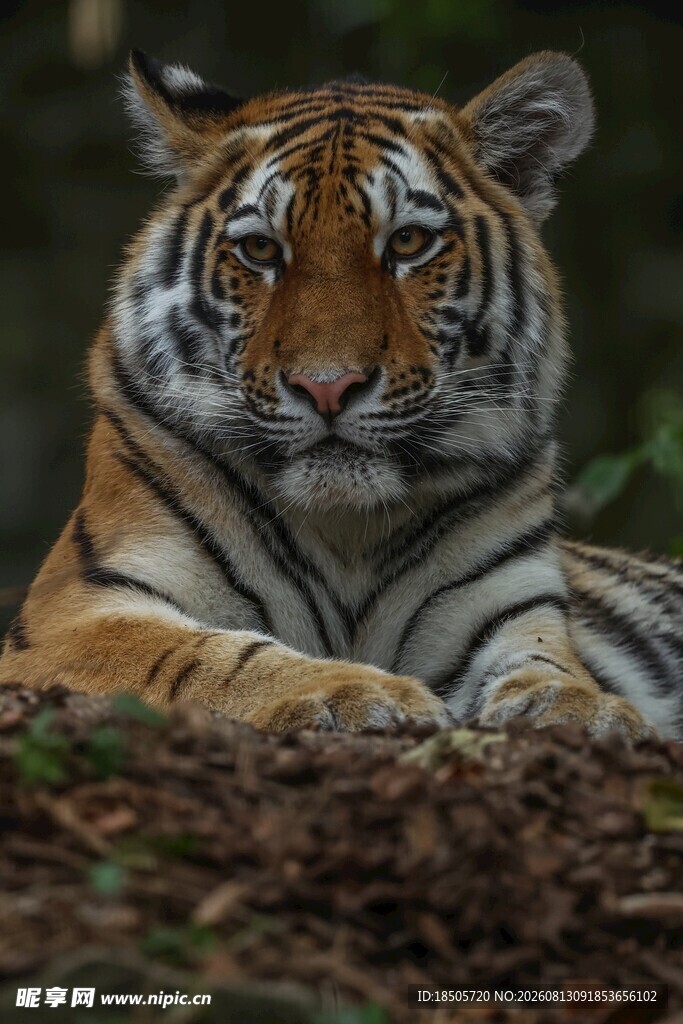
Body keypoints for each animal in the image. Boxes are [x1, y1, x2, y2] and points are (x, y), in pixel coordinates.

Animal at [1, 49, 681, 740]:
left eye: (408, 241)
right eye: (260, 248)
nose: (326, 387)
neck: (347, 532)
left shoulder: (511, 609)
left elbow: (547, 665)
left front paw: (585, 710)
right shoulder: (74, 613)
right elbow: (208, 655)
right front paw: (355, 691)